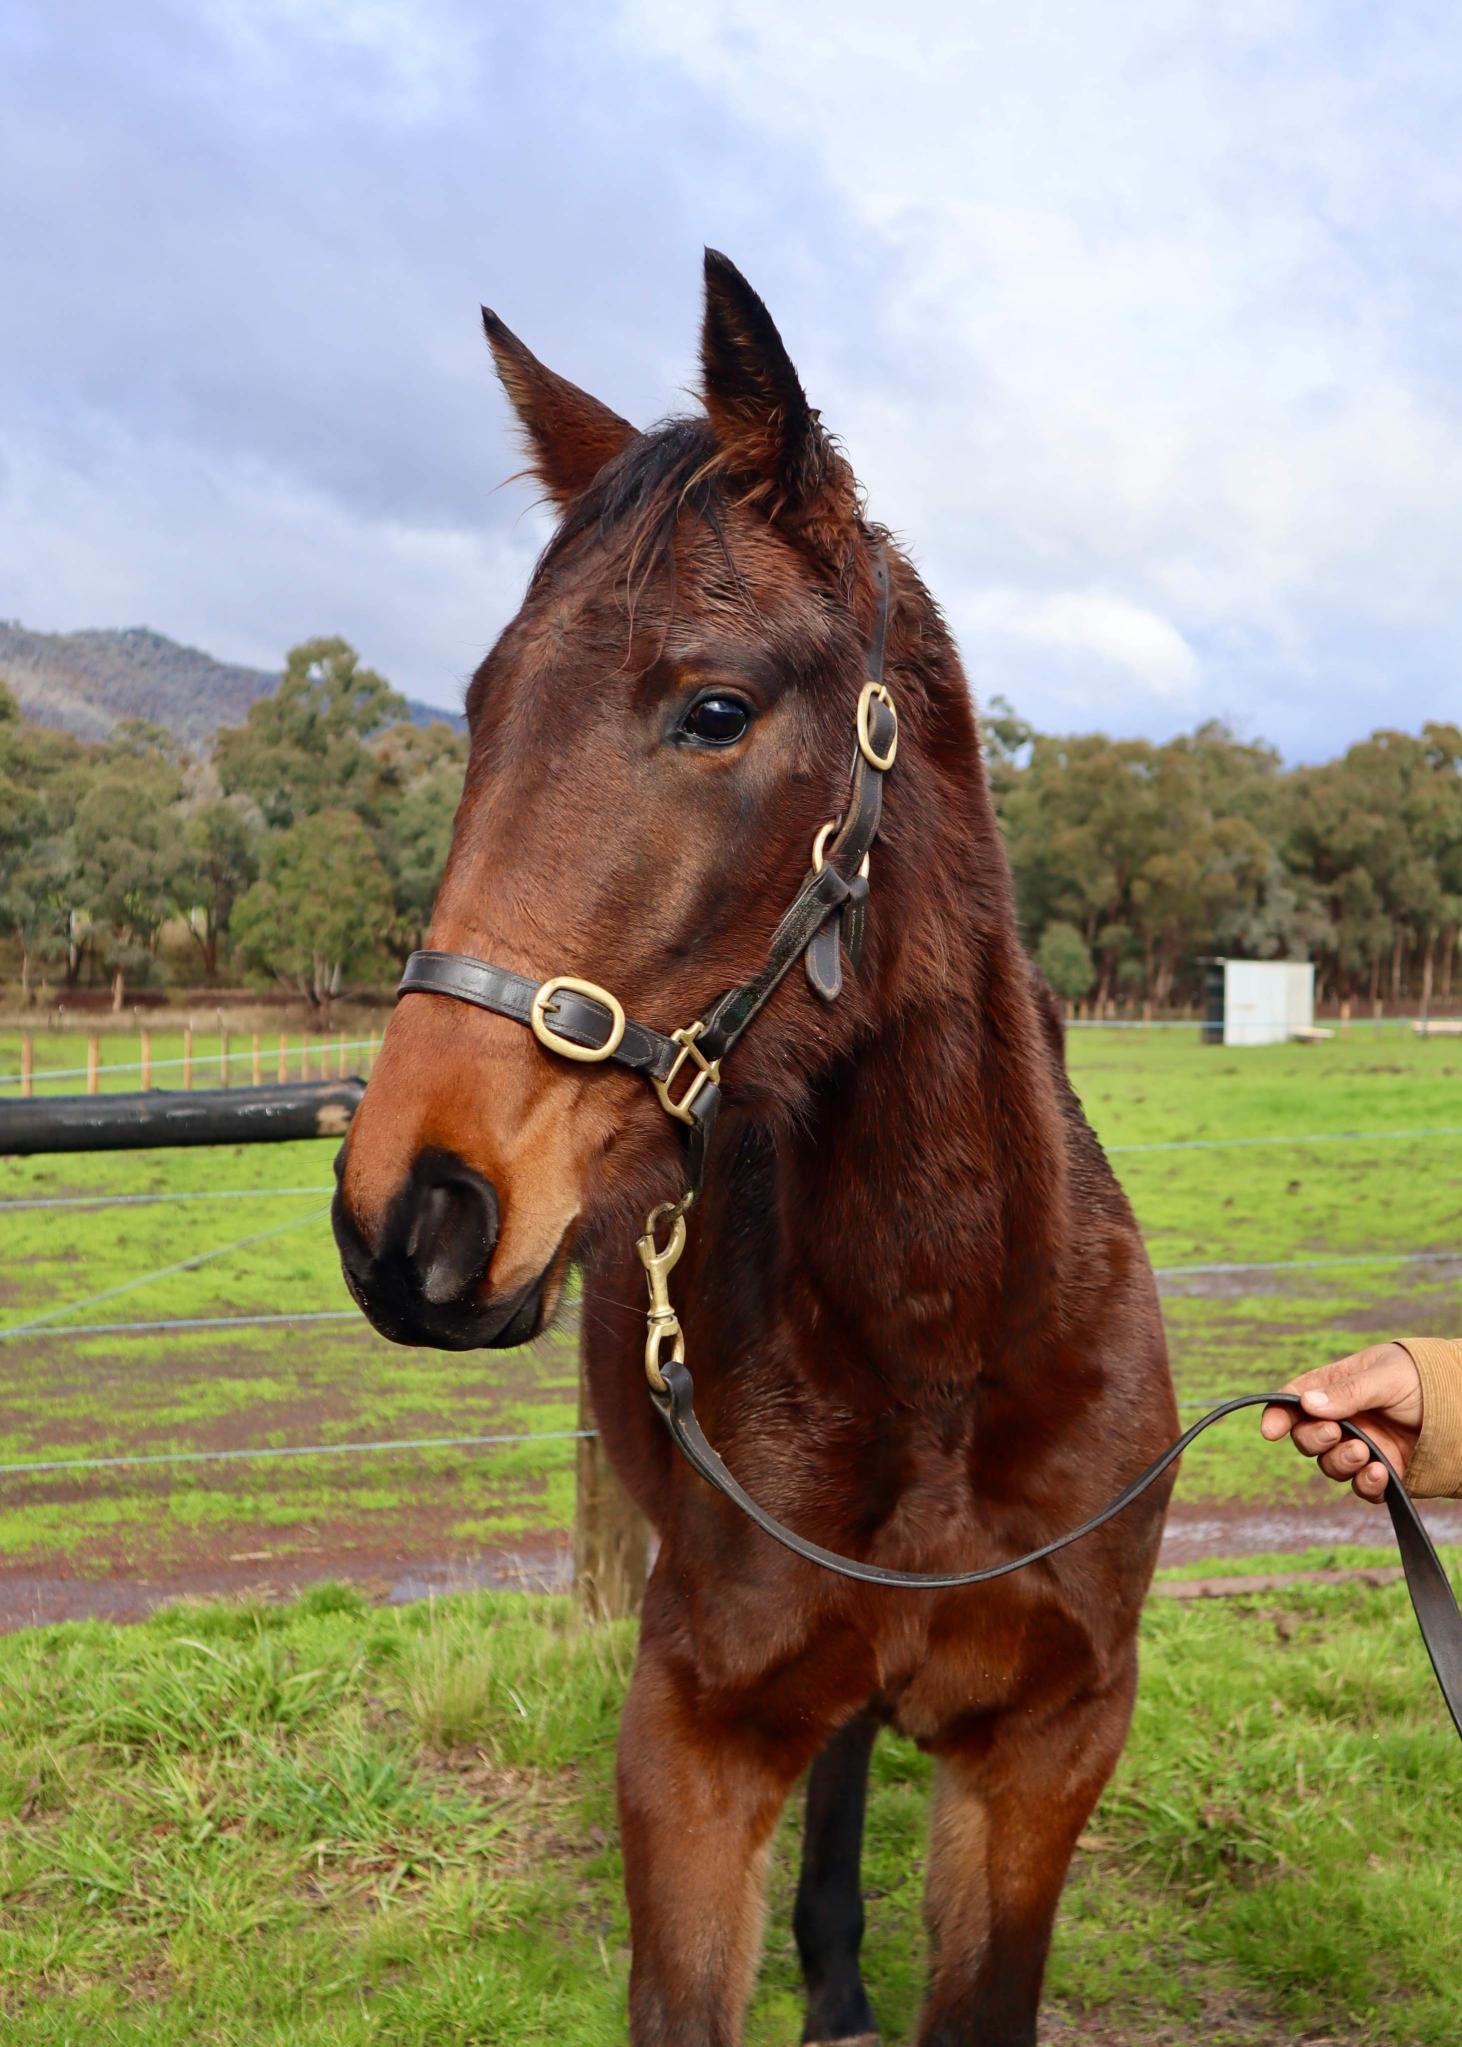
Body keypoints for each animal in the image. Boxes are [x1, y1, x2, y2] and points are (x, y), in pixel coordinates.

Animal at [332, 250, 1179, 2047]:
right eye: (479, 705)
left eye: (711, 708)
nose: (408, 1211)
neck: (944, 1339)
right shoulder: (692, 1740)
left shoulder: (1047, 1754)